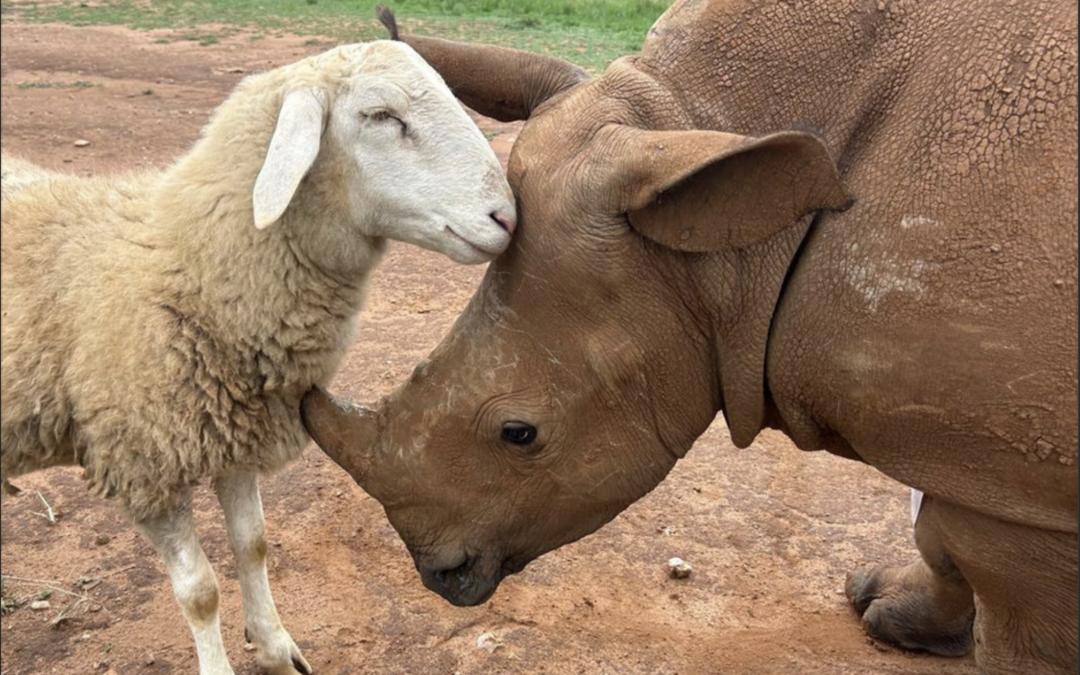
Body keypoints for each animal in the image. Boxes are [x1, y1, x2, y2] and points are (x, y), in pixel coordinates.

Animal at [303, 2, 1078, 673]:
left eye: (520, 433)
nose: (438, 573)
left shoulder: (1008, 489)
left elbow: (1017, 628)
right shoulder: (973, 450)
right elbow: (936, 533)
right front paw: (885, 608)